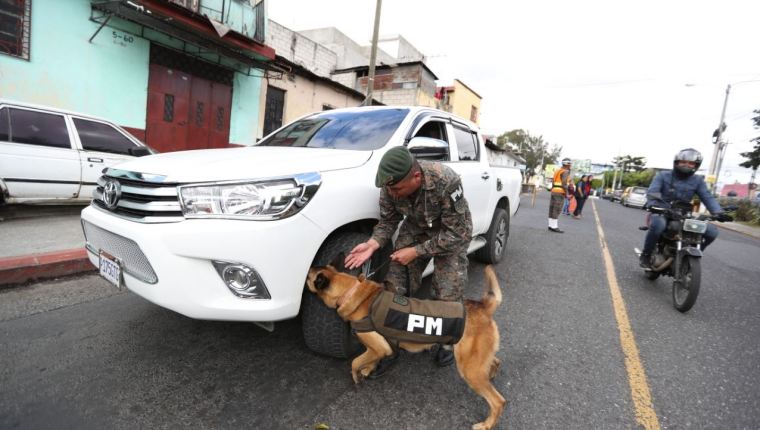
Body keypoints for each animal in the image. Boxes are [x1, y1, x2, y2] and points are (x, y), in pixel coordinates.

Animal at [306, 264, 508, 428]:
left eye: (308, 277)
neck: (350, 290)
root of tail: (482, 306)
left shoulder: (379, 347)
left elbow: (355, 362)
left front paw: (357, 377)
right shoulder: (377, 349)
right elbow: (368, 358)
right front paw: (369, 368)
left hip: (469, 370)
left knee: (498, 401)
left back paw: (487, 424)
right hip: (475, 359)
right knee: (496, 361)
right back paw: (492, 374)